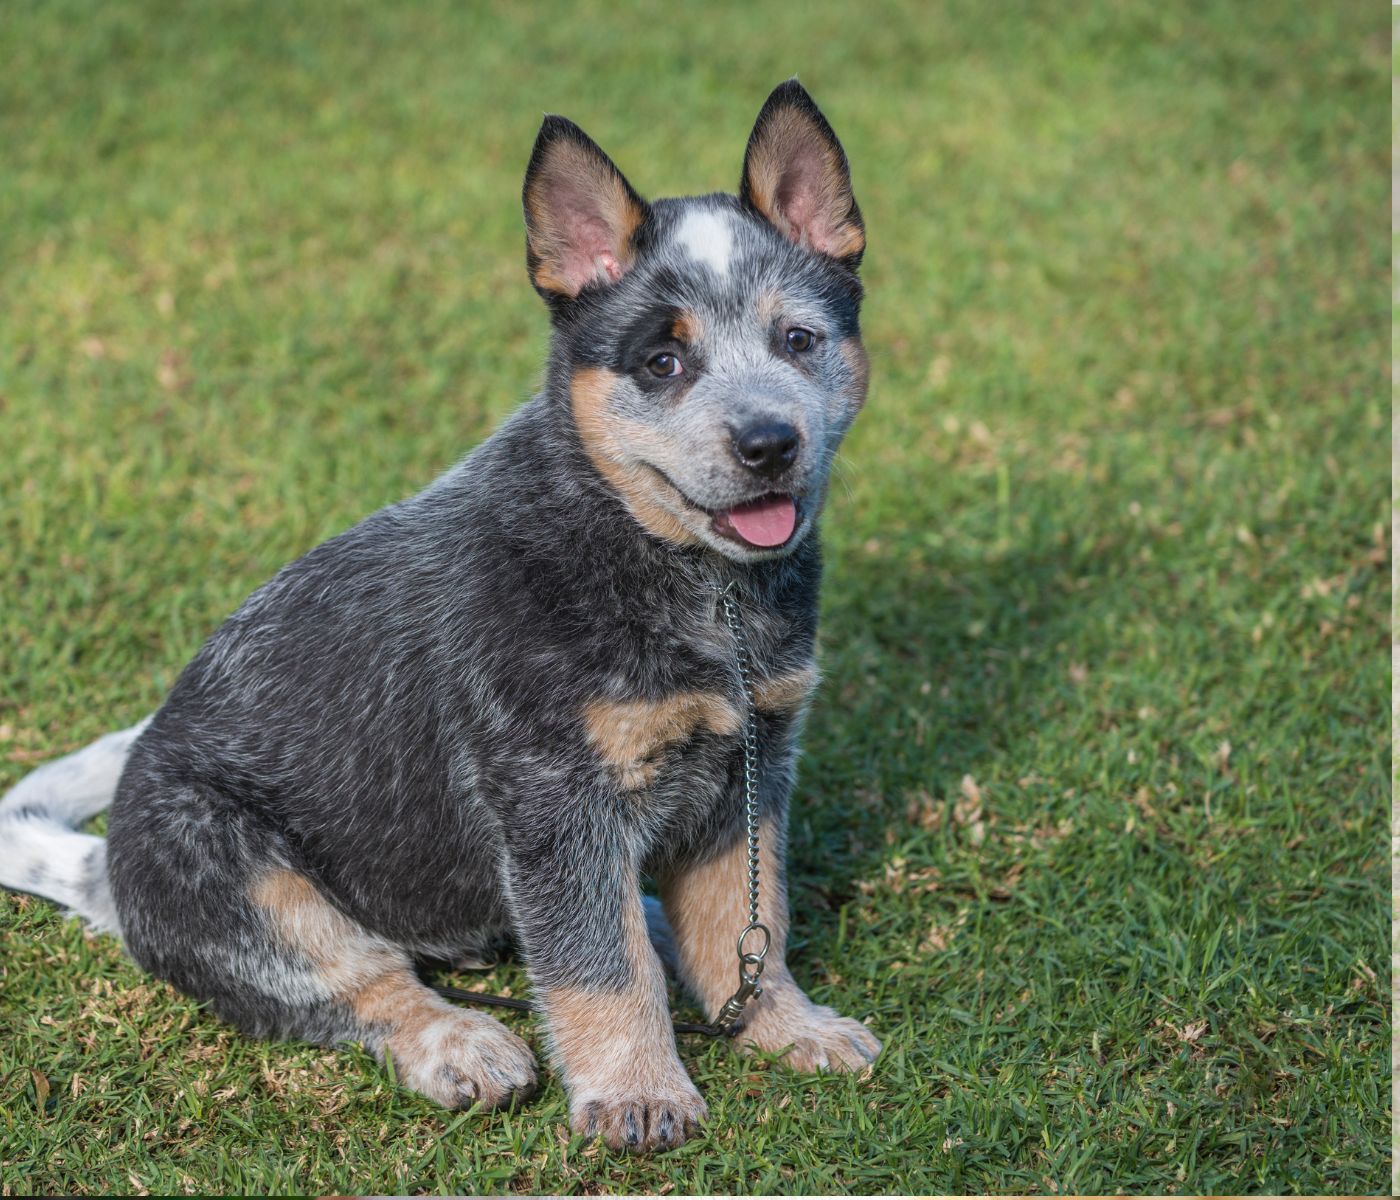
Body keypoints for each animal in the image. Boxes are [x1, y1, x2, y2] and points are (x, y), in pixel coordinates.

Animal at [0, 79, 873, 1148]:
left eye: (798, 339)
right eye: (663, 364)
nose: (768, 443)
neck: (697, 589)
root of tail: (109, 879)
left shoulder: (752, 762)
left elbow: (747, 923)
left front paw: (787, 1024)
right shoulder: (555, 798)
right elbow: (600, 965)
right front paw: (637, 1093)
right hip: (236, 868)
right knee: (362, 977)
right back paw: (462, 1045)